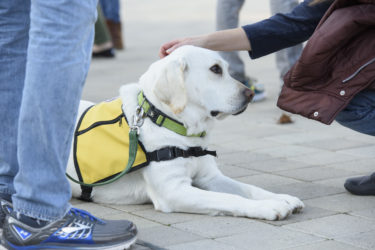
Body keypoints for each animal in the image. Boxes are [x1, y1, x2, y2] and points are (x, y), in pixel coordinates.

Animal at [66, 45, 304, 221]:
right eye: (215, 69)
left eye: (226, 69)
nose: (251, 94)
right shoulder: (174, 191)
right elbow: (228, 199)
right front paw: (269, 206)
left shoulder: (210, 177)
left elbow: (249, 188)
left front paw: (281, 198)